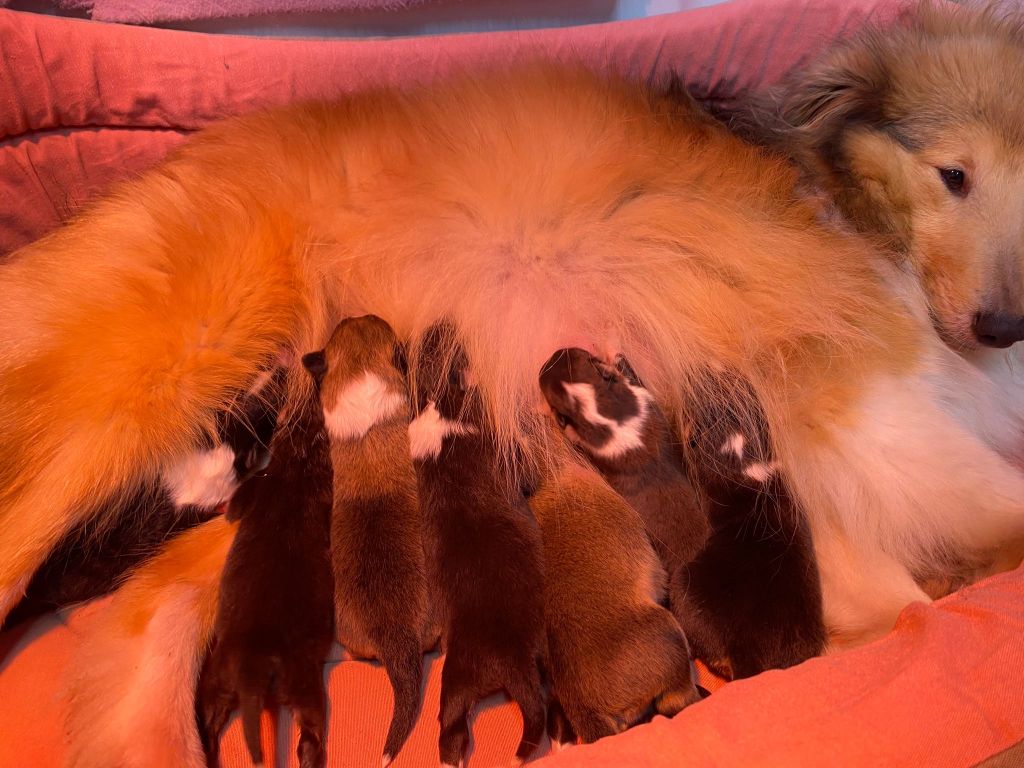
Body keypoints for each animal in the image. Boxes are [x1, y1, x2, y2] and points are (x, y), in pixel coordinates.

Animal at [194, 368, 331, 768]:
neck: (298, 461)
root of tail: (252, 669)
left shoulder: (255, 487)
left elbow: (235, 508)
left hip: (216, 678)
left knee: (209, 715)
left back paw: (207, 750)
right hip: (302, 678)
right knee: (311, 727)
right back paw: (310, 756)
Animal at [407, 325, 548, 768]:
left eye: (429, 341)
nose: (443, 322)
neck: (439, 402)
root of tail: (502, 662)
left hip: (453, 688)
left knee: (450, 734)